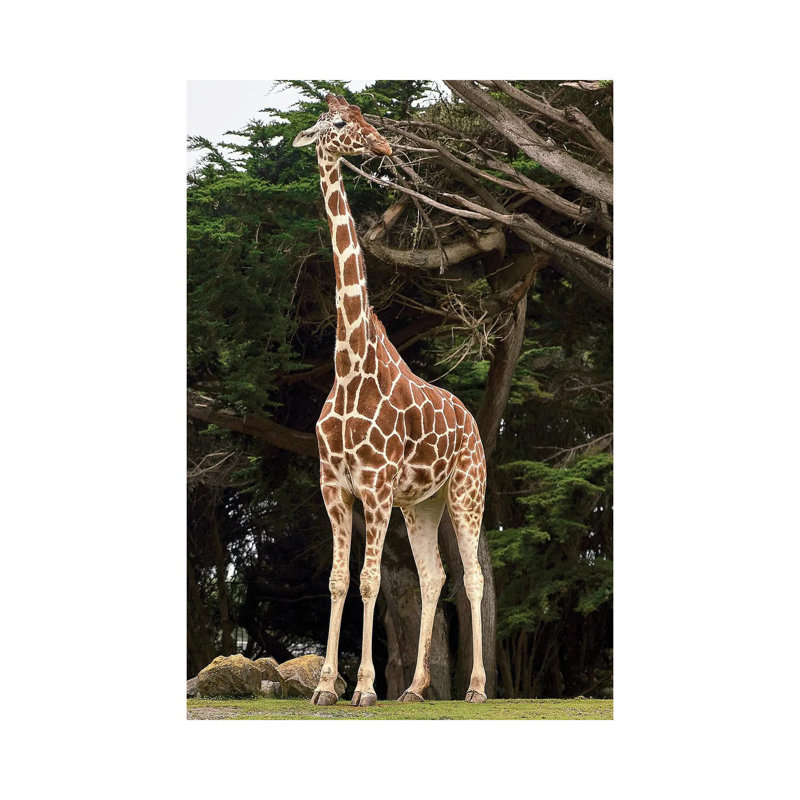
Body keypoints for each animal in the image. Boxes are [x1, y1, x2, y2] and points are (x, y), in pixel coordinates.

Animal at [292, 94, 487, 706]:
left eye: (362, 115)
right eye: (338, 122)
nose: (380, 144)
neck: (349, 364)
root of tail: (473, 422)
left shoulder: (375, 485)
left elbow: (371, 579)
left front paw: (362, 688)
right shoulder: (335, 486)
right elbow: (339, 580)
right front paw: (325, 687)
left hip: (467, 489)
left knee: (471, 576)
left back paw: (475, 688)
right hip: (420, 504)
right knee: (433, 577)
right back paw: (417, 688)